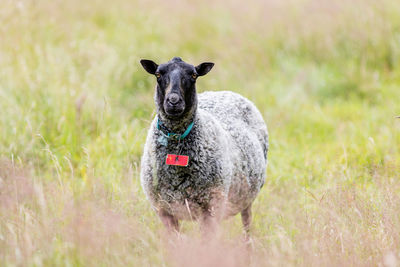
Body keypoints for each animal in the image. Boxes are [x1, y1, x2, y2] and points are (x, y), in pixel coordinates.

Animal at [139, 57, 268, 237]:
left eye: (194, 75)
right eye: (158, 74)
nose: (173, 101)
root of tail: (223, 92)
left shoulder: (210, 208)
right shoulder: (164, 210)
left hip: (244, 197)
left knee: (247, 223)